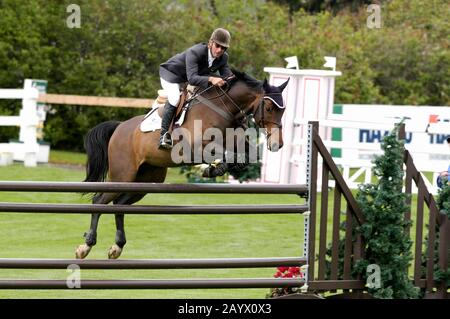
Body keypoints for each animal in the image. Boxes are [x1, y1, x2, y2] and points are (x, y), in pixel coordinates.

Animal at [75, 70, 290, 260]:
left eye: (283, 110)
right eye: (269, 108)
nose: (277, 144)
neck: (224, 108)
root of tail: (119, 127)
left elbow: (244, 154)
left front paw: (222, 168)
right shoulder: (194, 148)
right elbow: (217, 152)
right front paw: (213, 169)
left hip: (146, 180)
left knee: (119, 205)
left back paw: (117, 246)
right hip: (123, 176)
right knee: (99, 201)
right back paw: (86, 246)